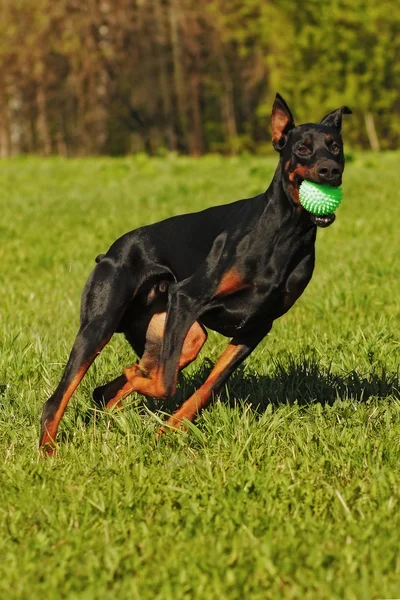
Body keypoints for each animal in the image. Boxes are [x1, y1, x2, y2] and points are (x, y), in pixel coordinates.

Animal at [38, 94, 350, 452]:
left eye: (335, 146)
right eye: (302, 148)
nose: (330, 170)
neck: (286, 233)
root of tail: (110, 254)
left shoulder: (257, 325)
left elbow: (206, 388)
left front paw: (166, 432)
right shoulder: (187, 296)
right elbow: (166, 384)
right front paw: (150, 399)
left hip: (181, 335)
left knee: (106, 391)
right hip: (101, 324)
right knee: (58, 399)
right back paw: (49, 452)